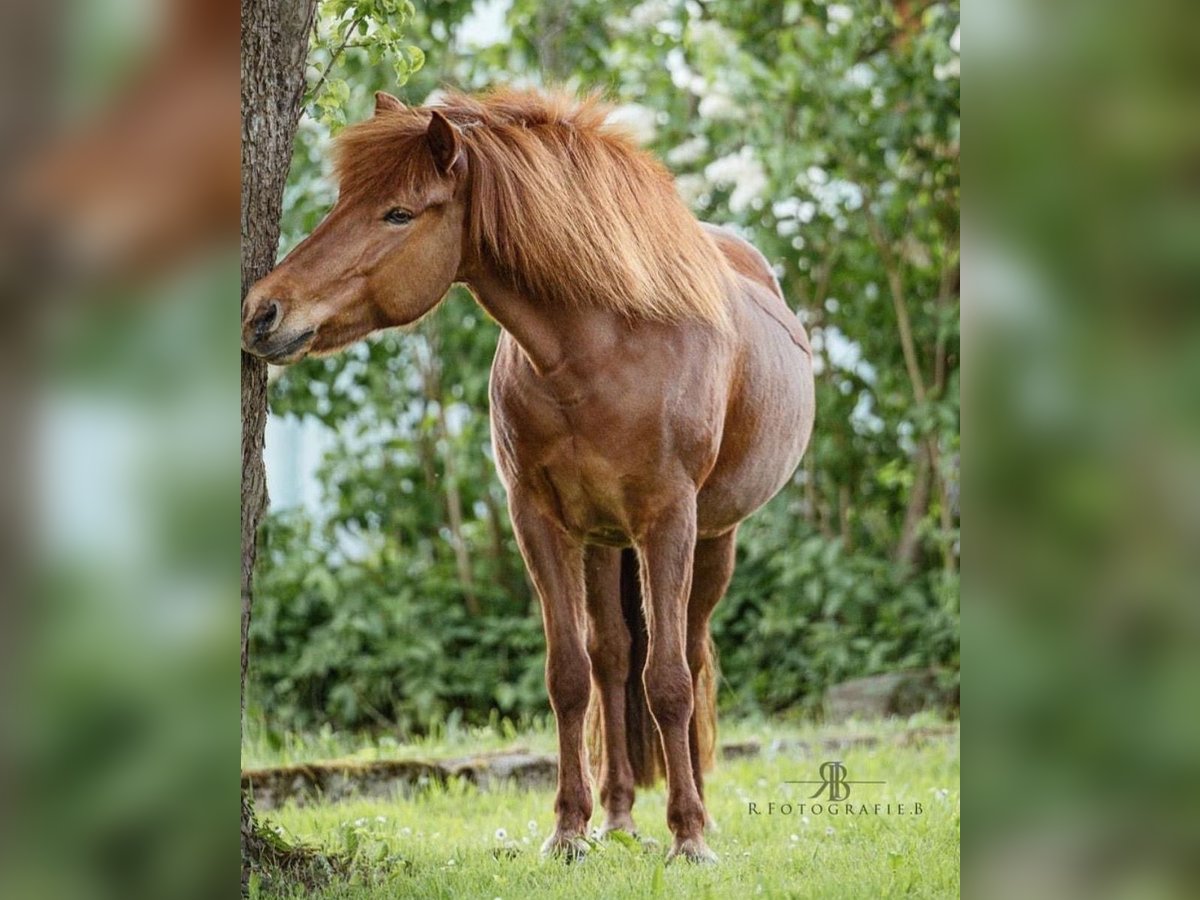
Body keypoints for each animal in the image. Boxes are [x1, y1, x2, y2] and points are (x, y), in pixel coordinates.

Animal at [242, 88, 815, 863]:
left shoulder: (670, 520)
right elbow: (569, 674)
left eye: (398, 212)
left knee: (690, 656)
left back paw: (694, 812)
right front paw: (569, 829)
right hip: (604, 541)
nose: (262, 311)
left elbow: (668, 681)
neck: (605, 346)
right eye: (341, 202)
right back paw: (619, 817)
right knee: (613, 658)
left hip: (713, 538)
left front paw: (689, 838)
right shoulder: (538, 520)